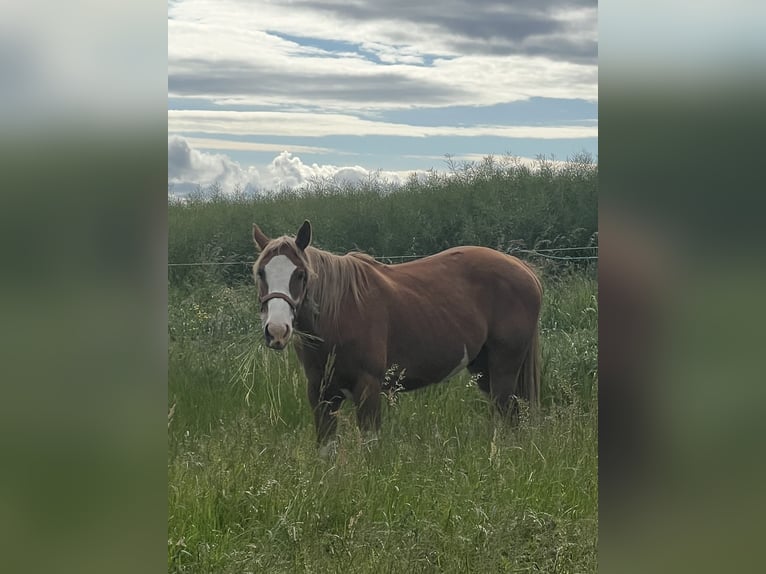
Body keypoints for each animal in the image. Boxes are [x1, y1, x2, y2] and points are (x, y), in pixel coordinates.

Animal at [252, 220, 542, 453]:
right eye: (260, 273)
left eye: (300, 274)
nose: (277, 330)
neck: (340, 312)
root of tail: (523, 268)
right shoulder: (320, 393)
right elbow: (326, 450)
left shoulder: (368, 387)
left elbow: (370, 447)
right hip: (484, 370)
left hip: (504, 368)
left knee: (508, 415)